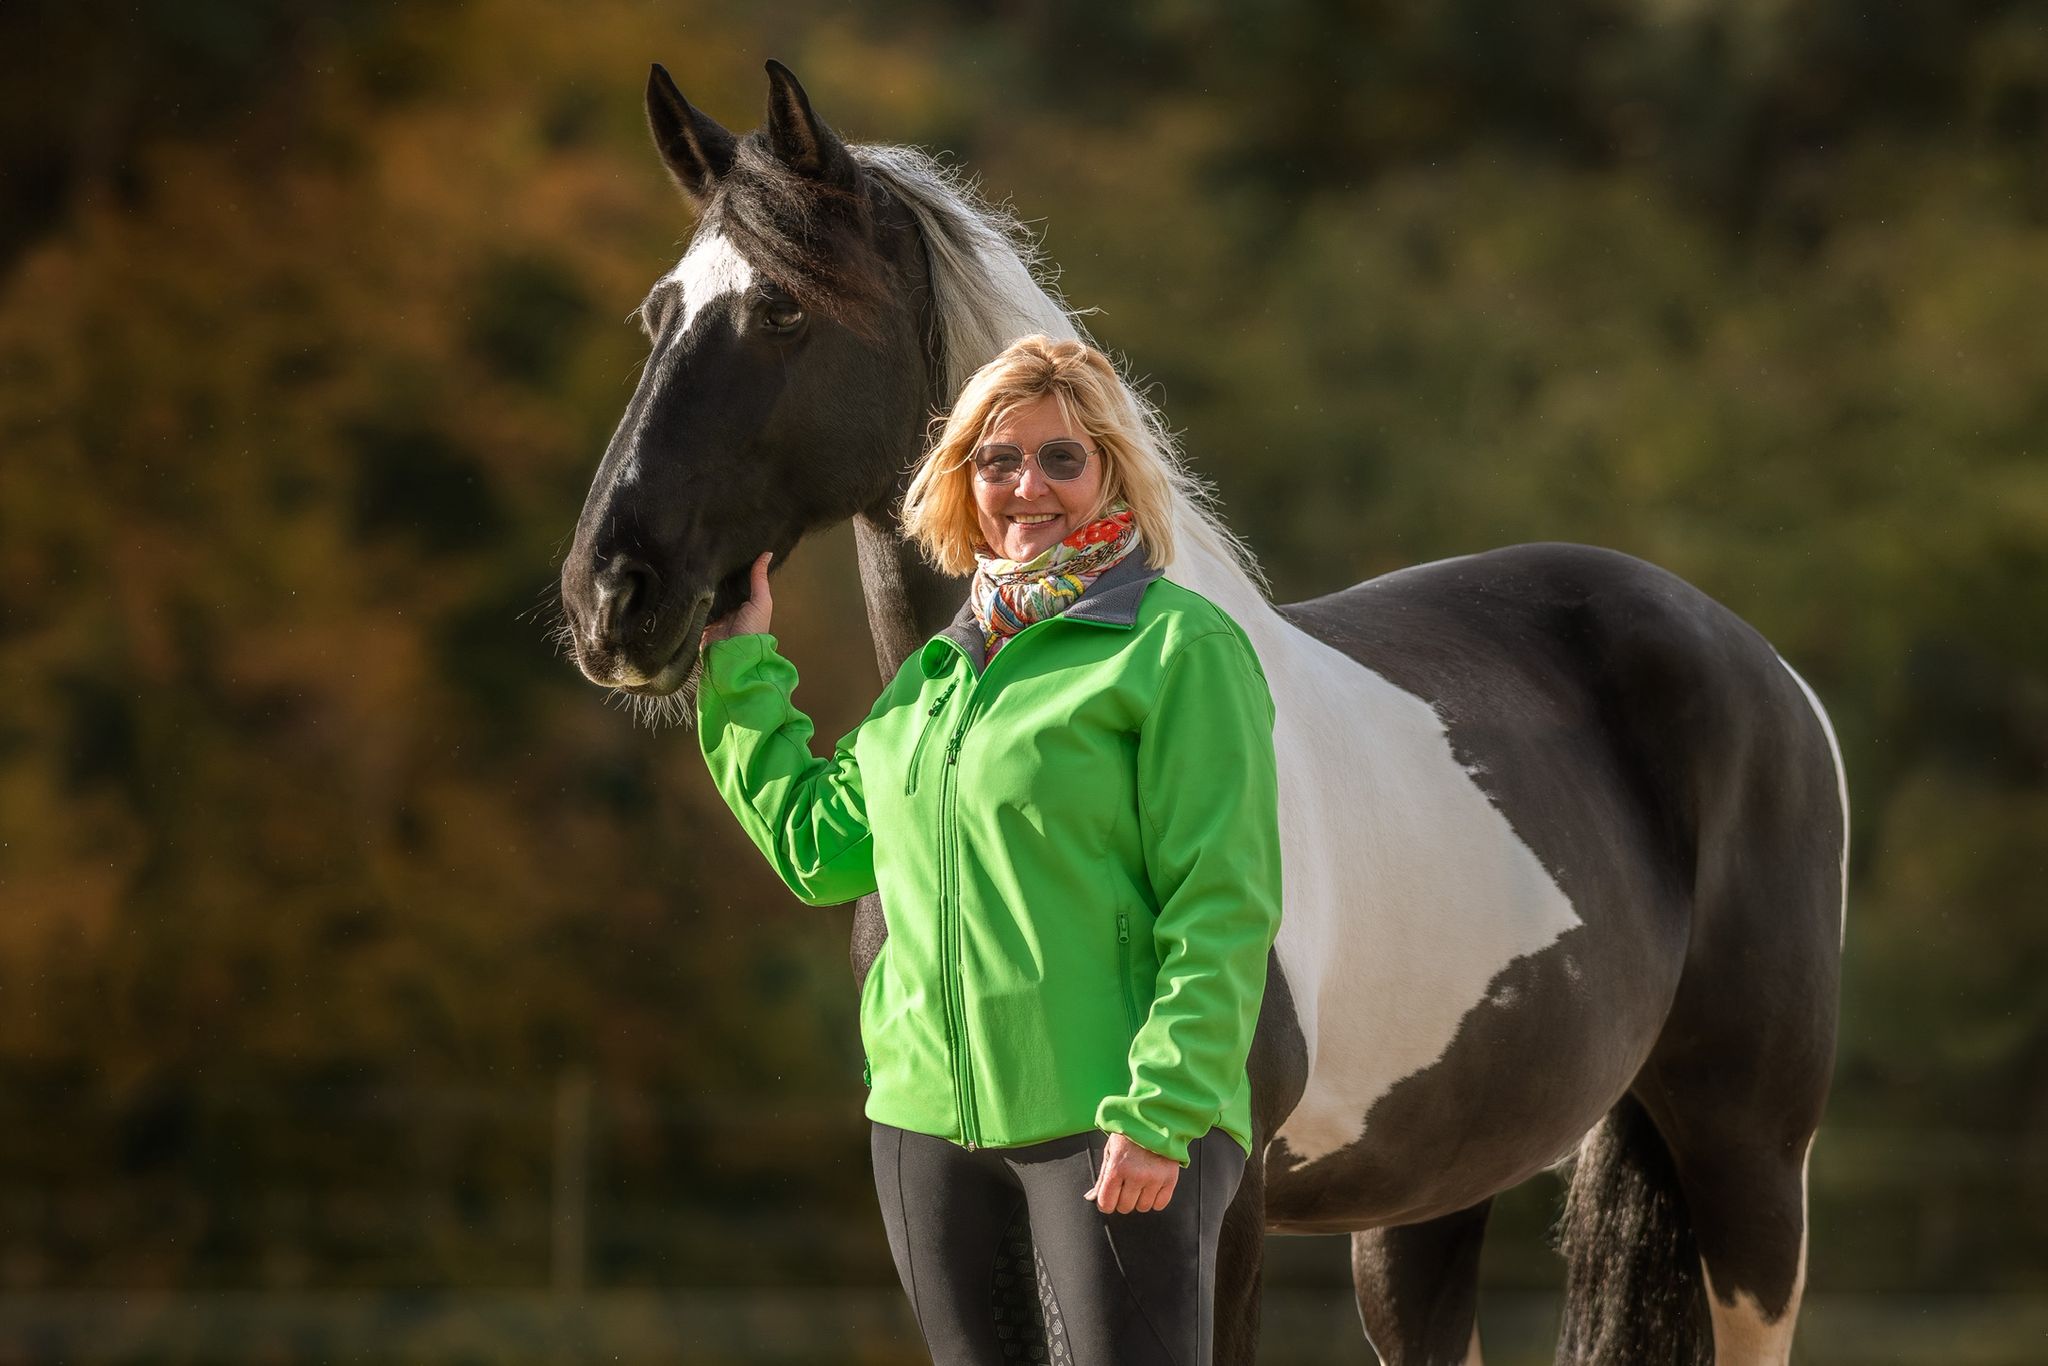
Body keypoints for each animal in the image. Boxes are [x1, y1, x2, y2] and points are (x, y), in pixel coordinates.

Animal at [556, 60, 1848, 1366]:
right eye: (658, 315)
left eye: (779, 312)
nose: (610, 596)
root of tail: (1762, 670)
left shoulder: (1221, 1210)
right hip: (1429, 1197)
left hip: (1748, 1166)